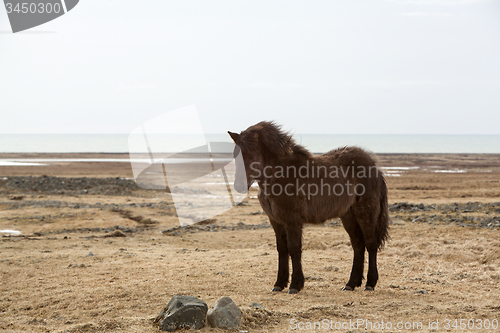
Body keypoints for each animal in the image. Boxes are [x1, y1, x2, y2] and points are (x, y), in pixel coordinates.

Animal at [229, 121, 388, 294]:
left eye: (251, 155)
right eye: (235, 155)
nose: (239, 186)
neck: (281, 175)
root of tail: (375, 167)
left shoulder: (292, 221)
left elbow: (294, 249)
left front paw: (295, 285)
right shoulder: (276, 221)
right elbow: (282, 249)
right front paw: (279, 284)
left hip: (366, 213)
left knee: (371, 243)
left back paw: (370, 283)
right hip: (348, 216)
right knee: (358, 245)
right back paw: (351, 284)